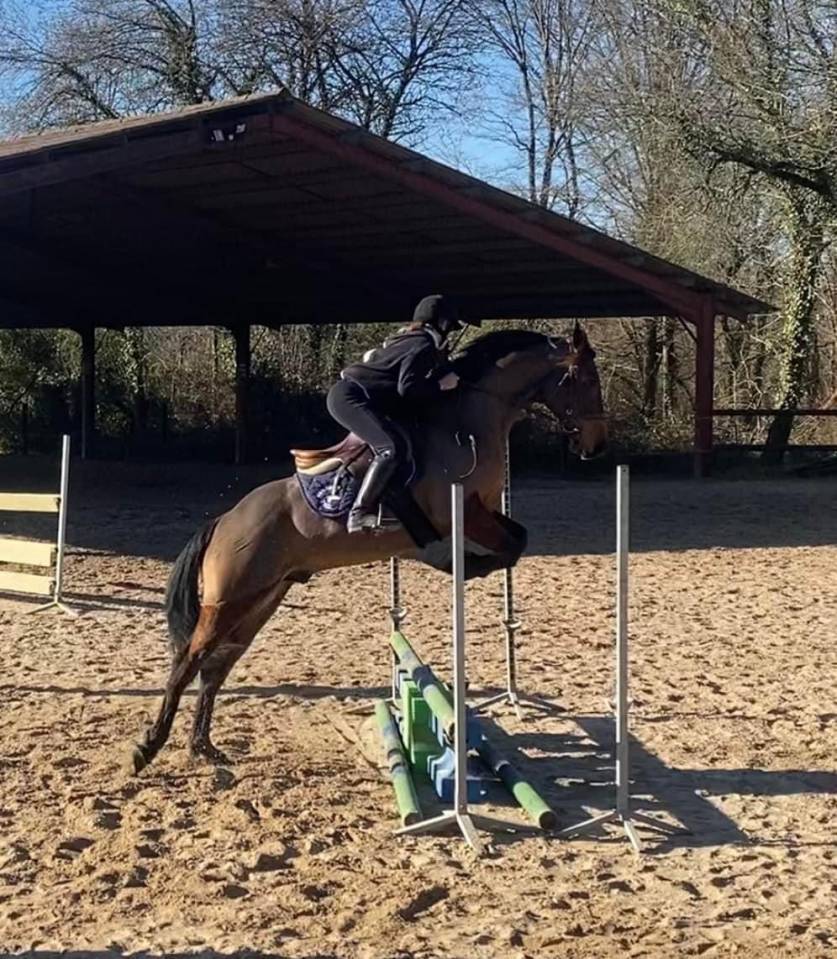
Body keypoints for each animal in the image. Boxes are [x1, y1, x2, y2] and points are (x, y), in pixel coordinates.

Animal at [128, 325, 607, 773]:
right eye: (586, 379)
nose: (595, 446)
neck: (469, 420)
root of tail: (224, 521)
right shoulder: (463, 512)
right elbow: (510, 545)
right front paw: (459, 562)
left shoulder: (485, 512)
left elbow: (518, 540)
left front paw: (462, 563)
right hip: (230, 600)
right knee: (188, 662)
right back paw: (148, 747)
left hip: (261, 600)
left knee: (214, 669)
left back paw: (203, 748)